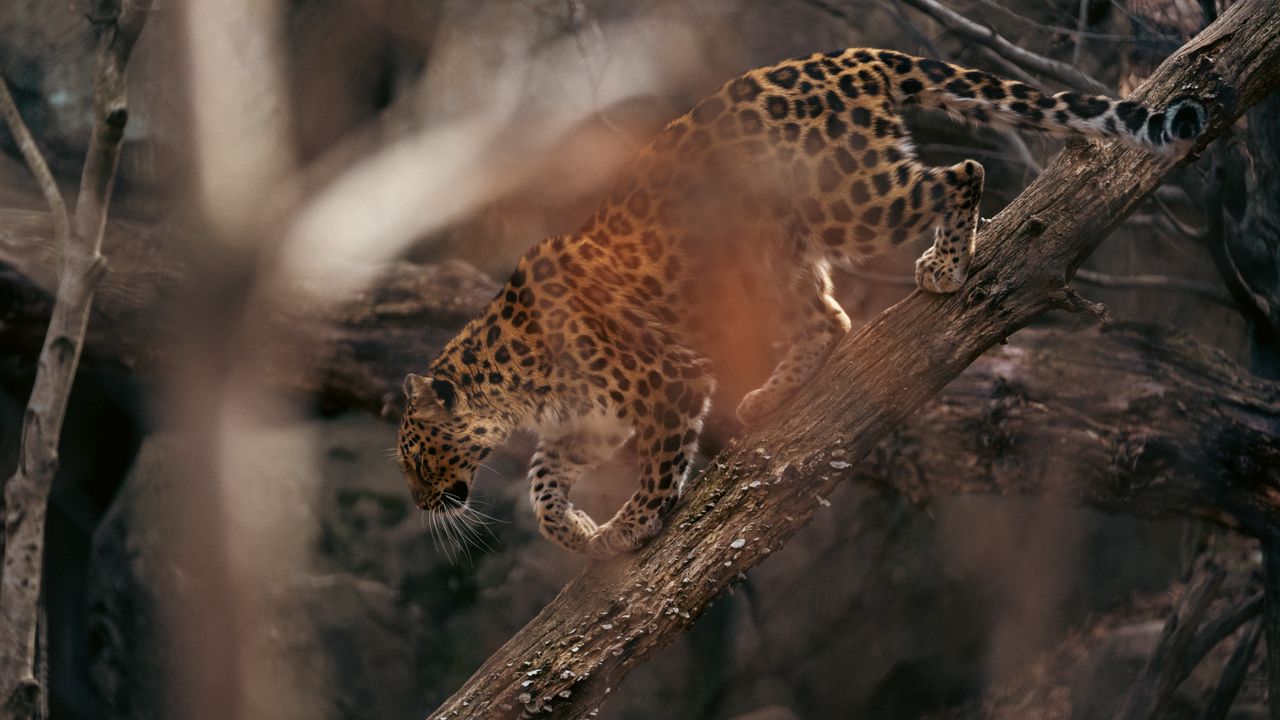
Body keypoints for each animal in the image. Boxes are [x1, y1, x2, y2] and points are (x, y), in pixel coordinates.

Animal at [397, 47, 1206, 559]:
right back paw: (769, 396)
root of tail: (852, 58)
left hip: (854, 199)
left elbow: (657, 467)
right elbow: (541, 482)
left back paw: (945, 266)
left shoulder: (667, 383)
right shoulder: (589, 420)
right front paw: (577, 532)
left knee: (964, 172)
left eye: (415, 452)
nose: (419, 503)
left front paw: (630, 527)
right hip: (772, 253)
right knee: (831, 317)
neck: (516, 383)